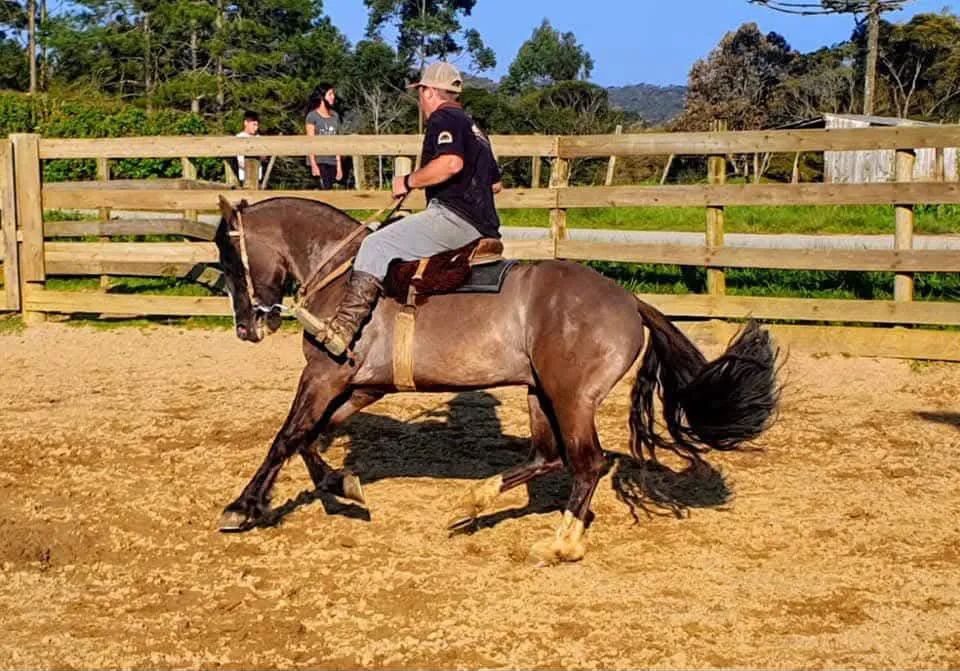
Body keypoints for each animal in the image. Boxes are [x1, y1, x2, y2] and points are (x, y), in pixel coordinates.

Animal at [213, 195, 780, 564]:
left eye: (229, 258)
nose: (246, 328)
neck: (345, 275)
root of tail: (629, 300)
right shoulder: (360, 387)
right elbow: (310, 438)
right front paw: (342, 484)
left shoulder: (324, 377)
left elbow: (287, 436)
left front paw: (243, 507)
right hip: (539, 393)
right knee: (547, 456)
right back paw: (476, 500)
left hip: (571, 398)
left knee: (587, 463)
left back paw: (561, 543)